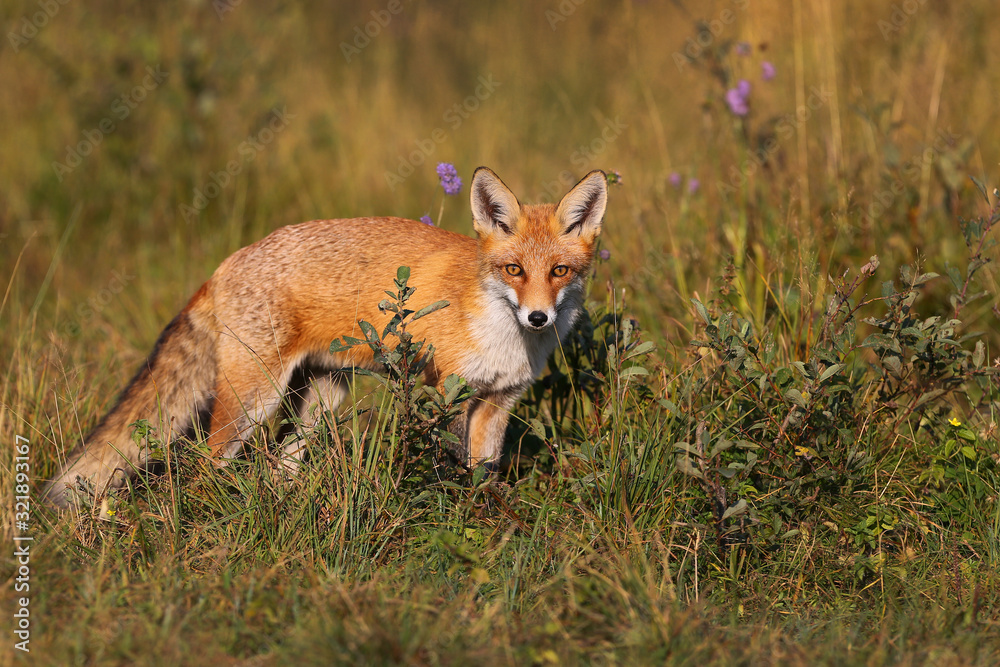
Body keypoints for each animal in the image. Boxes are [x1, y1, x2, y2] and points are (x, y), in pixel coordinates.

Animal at [44, 166, 608, 508]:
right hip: (255, 399)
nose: (538, 318)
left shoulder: (498, 401)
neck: (502, 336)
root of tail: (227, 261)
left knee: (278, 464)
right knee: (207, 460)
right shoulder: (445, 393)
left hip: (320, 401)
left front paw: (483, 520)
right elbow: (449, 466)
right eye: (514, 270)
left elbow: (482, 473)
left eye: (558, 271)